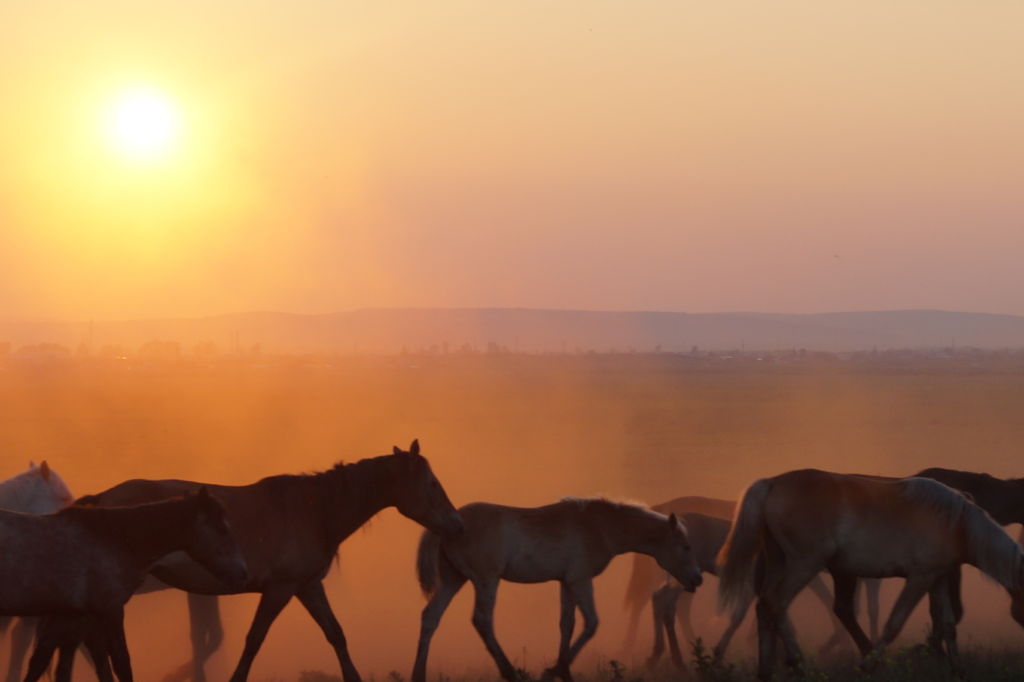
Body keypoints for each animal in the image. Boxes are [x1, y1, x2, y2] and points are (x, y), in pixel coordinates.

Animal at [61, 440, 462, 679]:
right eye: (432, 484)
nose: (455, 523)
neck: (314, 509)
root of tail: (98, 502)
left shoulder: (307, 586)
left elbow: (336, 634)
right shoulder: (279, 589)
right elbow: (254, 640)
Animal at [411, 493, 700, 679]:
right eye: (686, 546)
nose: (697, 580)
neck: (598, 527)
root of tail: (448, 524)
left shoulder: (566, 582)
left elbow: (566, 624)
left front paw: (563, 671)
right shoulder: (581, 580)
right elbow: (591, 623)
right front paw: (554, 670)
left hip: (453, 580)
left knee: (430, 617)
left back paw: (419, 675)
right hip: (486, 581)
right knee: (482, 620)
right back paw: (510, 672)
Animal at [716, 466, 1024, 679]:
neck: (955, 522)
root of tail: (772, 483)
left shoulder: (937, 578)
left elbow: (947, 624)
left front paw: (958, 670)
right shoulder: (920, 578)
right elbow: (894, 623)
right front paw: (869, 665)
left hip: (781, 562)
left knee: (765, 607)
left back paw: (767, 670)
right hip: (804, 565)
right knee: (776, 604)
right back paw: (799, 666)